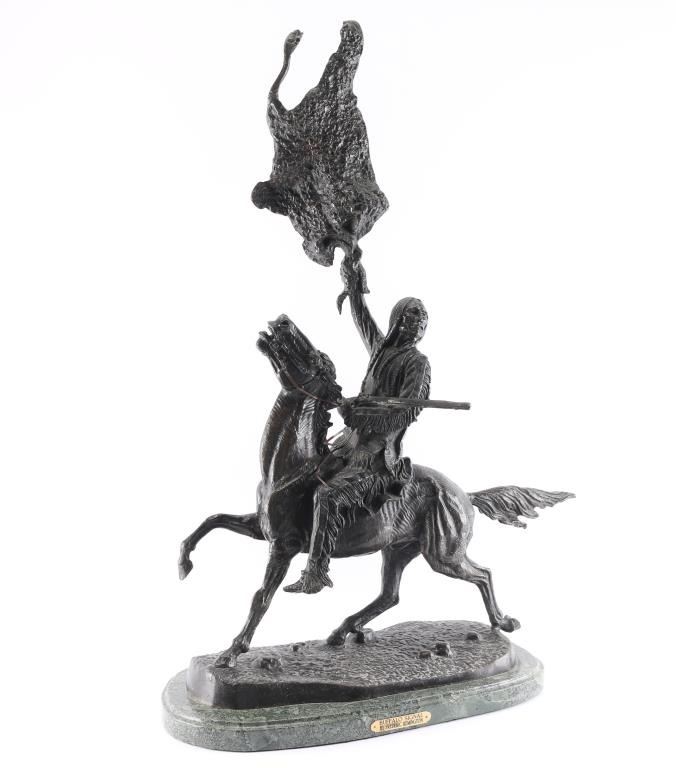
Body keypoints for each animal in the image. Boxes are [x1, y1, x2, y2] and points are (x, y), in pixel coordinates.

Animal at [178, 315, 573, 668]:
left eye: (316, 358)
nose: (282, 321)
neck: (290, 468)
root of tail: (464, 495)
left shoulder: (284, 546)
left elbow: (261, 597)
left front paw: (231, 654)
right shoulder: (260, 530)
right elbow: (212, 520)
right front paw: (184, 565)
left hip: (443, 554)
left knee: (482, 575)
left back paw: (501, 622)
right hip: (399, 549)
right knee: (389, 596)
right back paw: (341, 632)